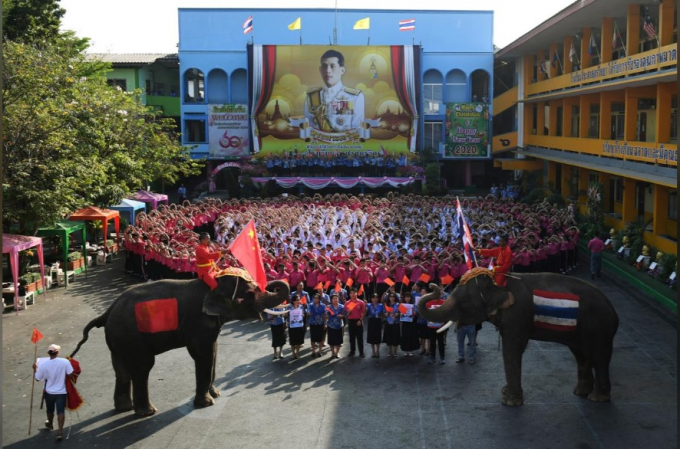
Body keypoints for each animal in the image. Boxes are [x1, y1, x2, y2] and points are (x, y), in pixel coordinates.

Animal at [71, 266, 290, 416]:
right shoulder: (198, 322)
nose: (273, 283)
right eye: (250, 293)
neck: (212, 284)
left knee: (121, 370)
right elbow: (203, 354)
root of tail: (107, 313)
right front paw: (207, 403)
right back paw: (147, 412)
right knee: (142, 367)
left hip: (119, 340)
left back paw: (125, 408)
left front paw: (216, 394)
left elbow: (214, 351)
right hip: (131, 337)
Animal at [418, 266, 620, 406]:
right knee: (581, 355)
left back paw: (597, 398)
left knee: (600, 358)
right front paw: (506, 393)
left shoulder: (516, 315)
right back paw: (581, 392)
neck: (499, 282)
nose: (432, 285)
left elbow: (512, 349)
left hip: (600, 328)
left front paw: (509, 401)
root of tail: (614, 312)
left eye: (464, 302)